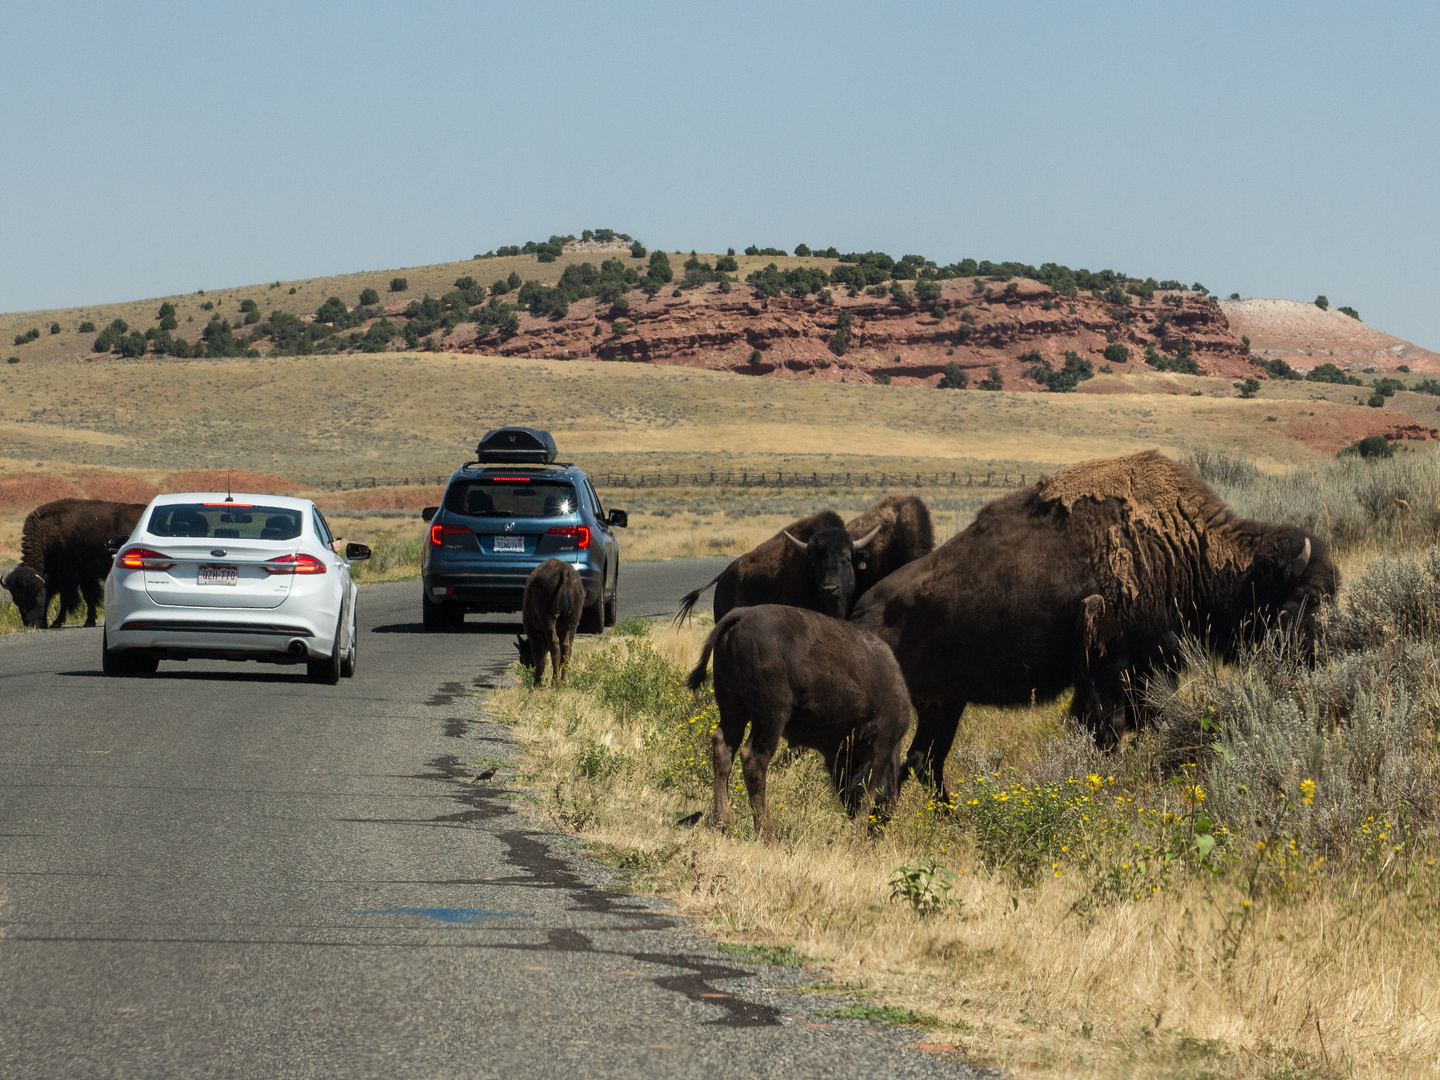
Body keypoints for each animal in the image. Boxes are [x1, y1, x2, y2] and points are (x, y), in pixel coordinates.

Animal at [1, 504, 144, 630]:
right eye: (16, 599)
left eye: (35, 595)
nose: (31, 624)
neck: (48, 537)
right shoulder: (84, 577)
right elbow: (87, 597)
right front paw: (89, 621)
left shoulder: (69, 578)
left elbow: (66, 599)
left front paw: (56, 623)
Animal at [688, 604, 910, 840]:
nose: (879, 831)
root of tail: (742, 614)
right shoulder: (881, 743)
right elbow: (868, 789)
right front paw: (858, 837)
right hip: (771, 716)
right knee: (754, 759)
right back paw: (767, 835)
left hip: (733, 708)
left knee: (723, 748)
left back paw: (723, 824)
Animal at [852, 452, 1336, 800]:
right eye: (1305, 600)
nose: (1317, 661)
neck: (1178, 548)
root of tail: (861, 613)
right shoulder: (1112, 668)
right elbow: (1110, 728)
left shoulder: (1141, 669)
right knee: (905, 762)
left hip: (945, 704)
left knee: (923, 761)